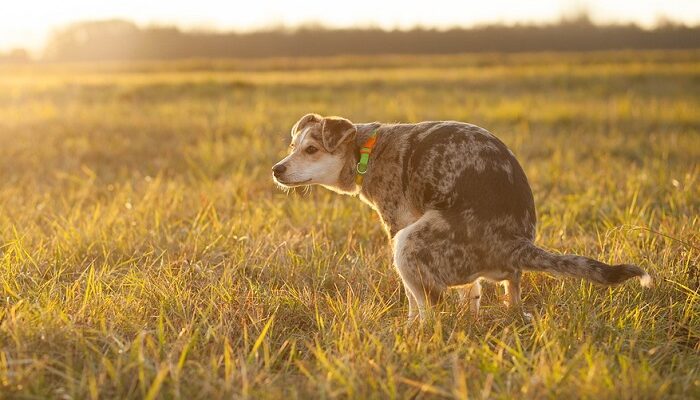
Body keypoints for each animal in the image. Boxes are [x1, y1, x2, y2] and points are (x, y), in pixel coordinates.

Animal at [272, 114, 652, 320]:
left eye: (311, 149)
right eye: (292, 147)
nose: (277, 169)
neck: (366, 150)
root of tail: (515, 243)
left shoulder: (398, 225)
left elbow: (413, 301)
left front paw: (409, 327)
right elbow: (471, 293)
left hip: (409, 243)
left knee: (430, 308)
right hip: (497, 274)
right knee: (509, 293)